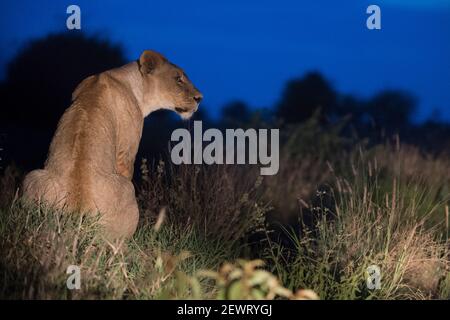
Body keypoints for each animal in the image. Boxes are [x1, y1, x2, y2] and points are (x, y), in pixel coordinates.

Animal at [22, 50, 202, 239]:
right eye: (178, 78)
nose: (200, 98)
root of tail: (76, 213)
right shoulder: (126, 151)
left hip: (31, 177)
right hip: (128, 190)